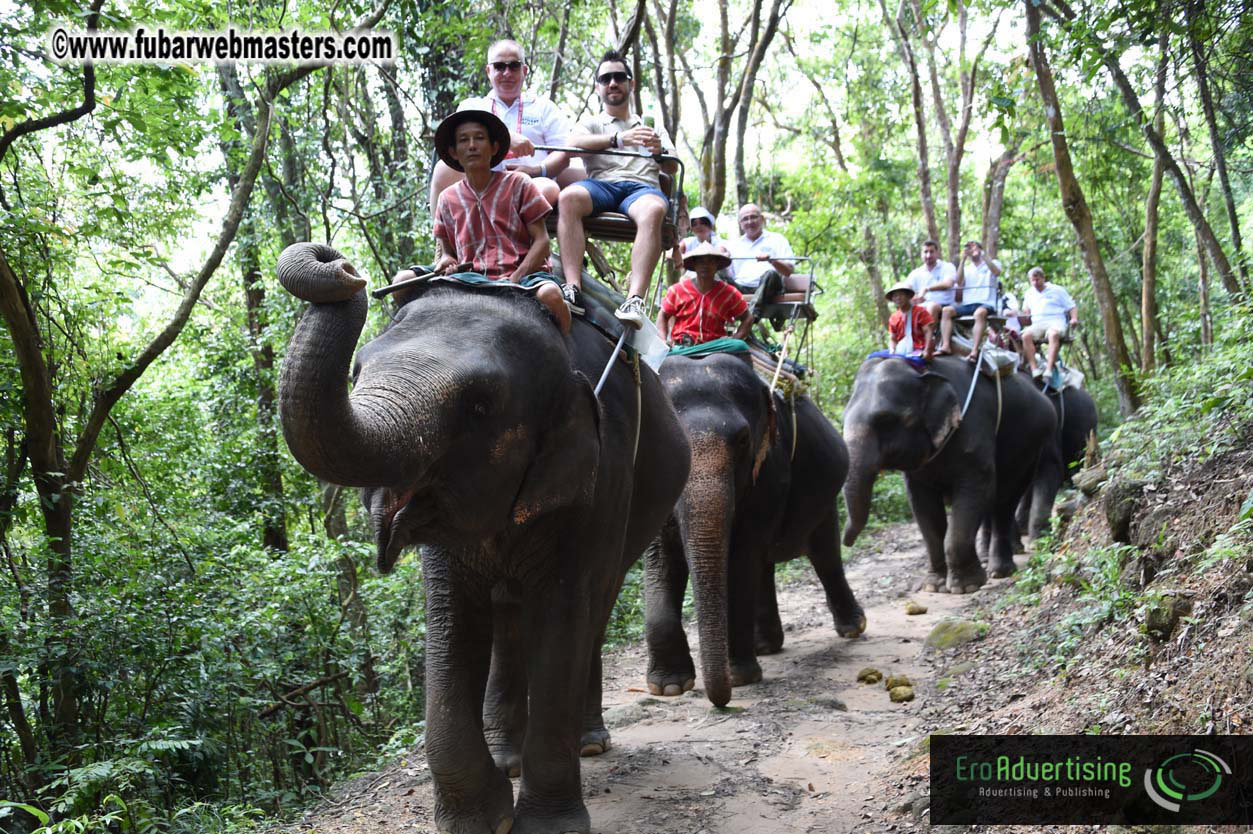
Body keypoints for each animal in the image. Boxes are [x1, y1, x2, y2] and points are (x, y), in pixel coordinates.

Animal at [275, 243, 690, 834]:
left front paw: (546, 826)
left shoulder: (603, 471)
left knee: (596, 605)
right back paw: (506, 755)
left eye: (479, 404)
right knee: (510, 611)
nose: (340, 265)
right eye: (357, 370)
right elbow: (451, 616)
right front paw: (482, 817)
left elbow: (563, 610)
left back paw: (587, 742)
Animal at [644, 351, 865, 708]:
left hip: (825, 495)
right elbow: (662, 561)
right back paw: (766, 646)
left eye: (743, 440)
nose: (720, 701)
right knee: (765, 565)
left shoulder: (770, 472)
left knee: (824, 554)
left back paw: (852, 628)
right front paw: (669, 687)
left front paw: (740, 677)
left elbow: (740, 557)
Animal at [842, 355, 1056, 592]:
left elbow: (975, 491)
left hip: (1032, 447)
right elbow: (924, 509)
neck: (922, 372)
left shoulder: (974, 431)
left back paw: (1000, 571)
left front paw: (966, 587)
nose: (846, 542)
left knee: (1005, 501)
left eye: (885, 420)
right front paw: (934, 586)